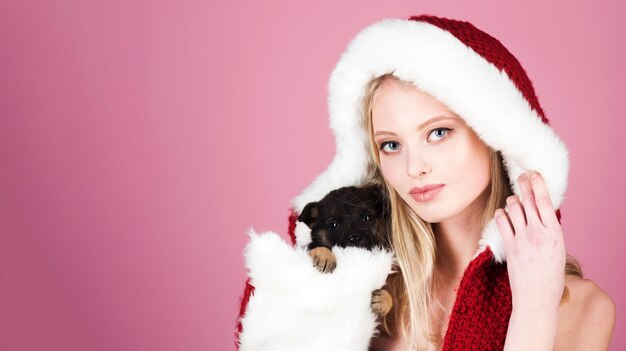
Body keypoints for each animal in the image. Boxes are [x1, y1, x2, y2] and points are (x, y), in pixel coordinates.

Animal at [296, 186, 392, 320]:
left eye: (367, 218)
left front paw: (384, 300)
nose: (354, 238)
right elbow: (318, 246)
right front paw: (324, 257)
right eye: (333, 224)